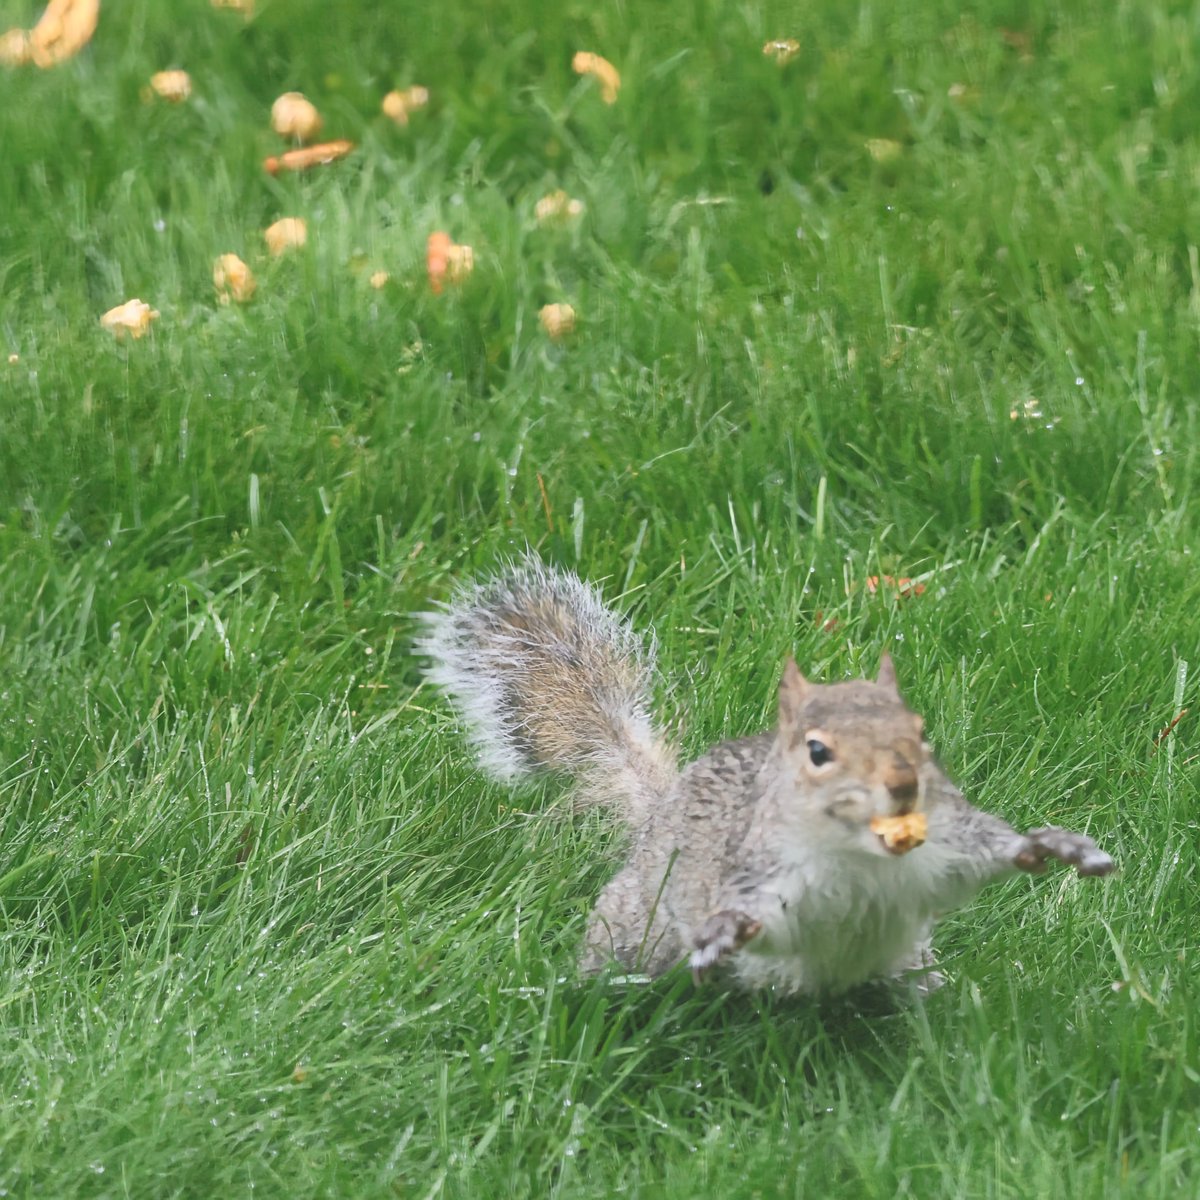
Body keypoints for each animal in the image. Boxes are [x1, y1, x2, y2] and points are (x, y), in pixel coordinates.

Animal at [418, 556, 1114, 994]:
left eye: (921, 733)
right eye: (817, 752)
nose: (901, 786)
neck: (863, 854)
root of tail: (662, 809)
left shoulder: (940, 846)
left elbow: (975, 861)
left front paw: (1053, 846)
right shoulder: (763, 870)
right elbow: (759, 916)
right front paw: (727, 932)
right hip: (642, 916)